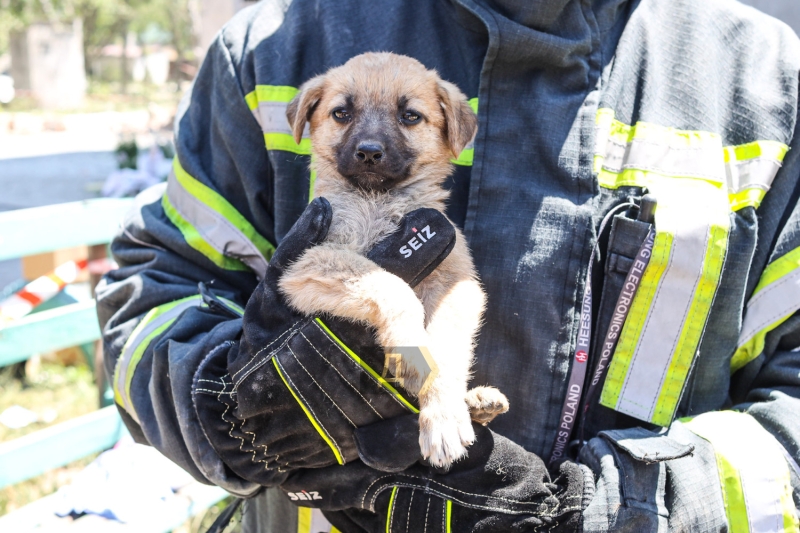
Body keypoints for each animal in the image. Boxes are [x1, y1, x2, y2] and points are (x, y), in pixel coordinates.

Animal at [278, 51, 510, 466]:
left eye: (410, 116)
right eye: (341, 113)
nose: (369, 152)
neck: (376, 202)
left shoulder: (456, 283)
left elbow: (446, 347)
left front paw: (444, 414)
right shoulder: (304, 263)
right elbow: (388, 284)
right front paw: (413, 351)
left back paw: (479, 402)